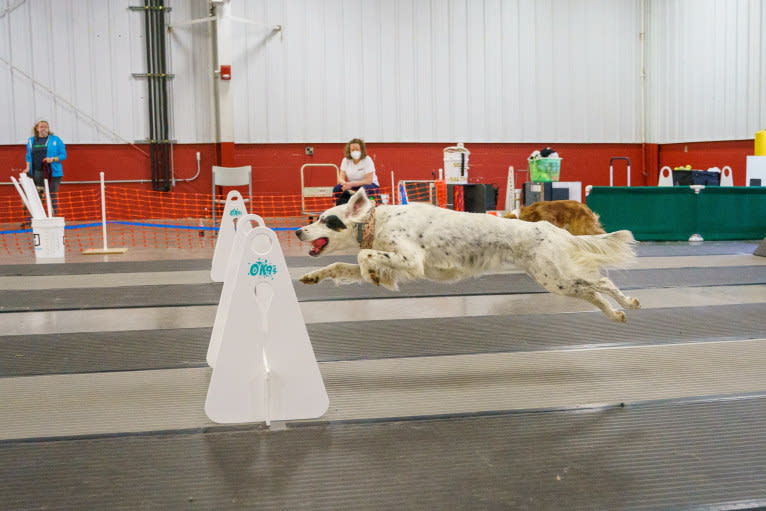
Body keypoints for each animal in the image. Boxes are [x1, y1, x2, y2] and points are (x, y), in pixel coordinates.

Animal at [298, 188, 640, 324]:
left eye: (325, 220)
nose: (299, 231)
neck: (379, 221)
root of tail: (548, 228)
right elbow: (338, 264)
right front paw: (313, 276)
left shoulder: (411, 260)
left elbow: (364, 257)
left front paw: (371, 274)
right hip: (553, 279)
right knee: (593, 291)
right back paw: (616, 314)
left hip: (557, 278)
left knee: (602, 284)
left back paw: (628, 302)